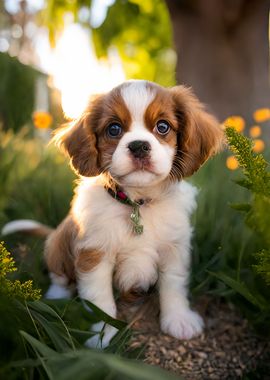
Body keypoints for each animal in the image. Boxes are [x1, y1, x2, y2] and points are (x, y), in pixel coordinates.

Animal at [2, 80, 223, 348]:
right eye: (114, 129)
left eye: (162, 127)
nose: (139, 146)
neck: (137, 203)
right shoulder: (94, 255)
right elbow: (101, 302)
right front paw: (103, 335)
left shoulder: (174, 249)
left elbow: (174, 285)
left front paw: (178, 319)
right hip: (58, 242)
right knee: (59, 276)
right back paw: (56, 296)